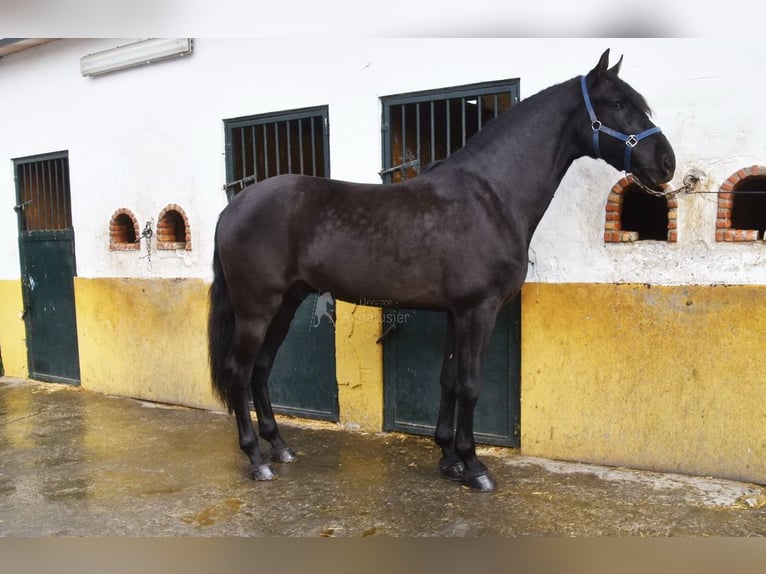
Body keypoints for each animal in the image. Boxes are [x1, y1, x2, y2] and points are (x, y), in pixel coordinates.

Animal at [208, 49, 676, 492]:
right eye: (617, 103)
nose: (666, 163)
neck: (492, 197)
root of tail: (233, 207)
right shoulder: (477, 311)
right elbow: (470, 384)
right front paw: (474, 467)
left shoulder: (455, 314)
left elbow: (449, 380)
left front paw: (449, 458)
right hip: (256, 310)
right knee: (239, 372)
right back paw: (257, 460)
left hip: (286, 304)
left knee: (261, 369)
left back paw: (280, 446)